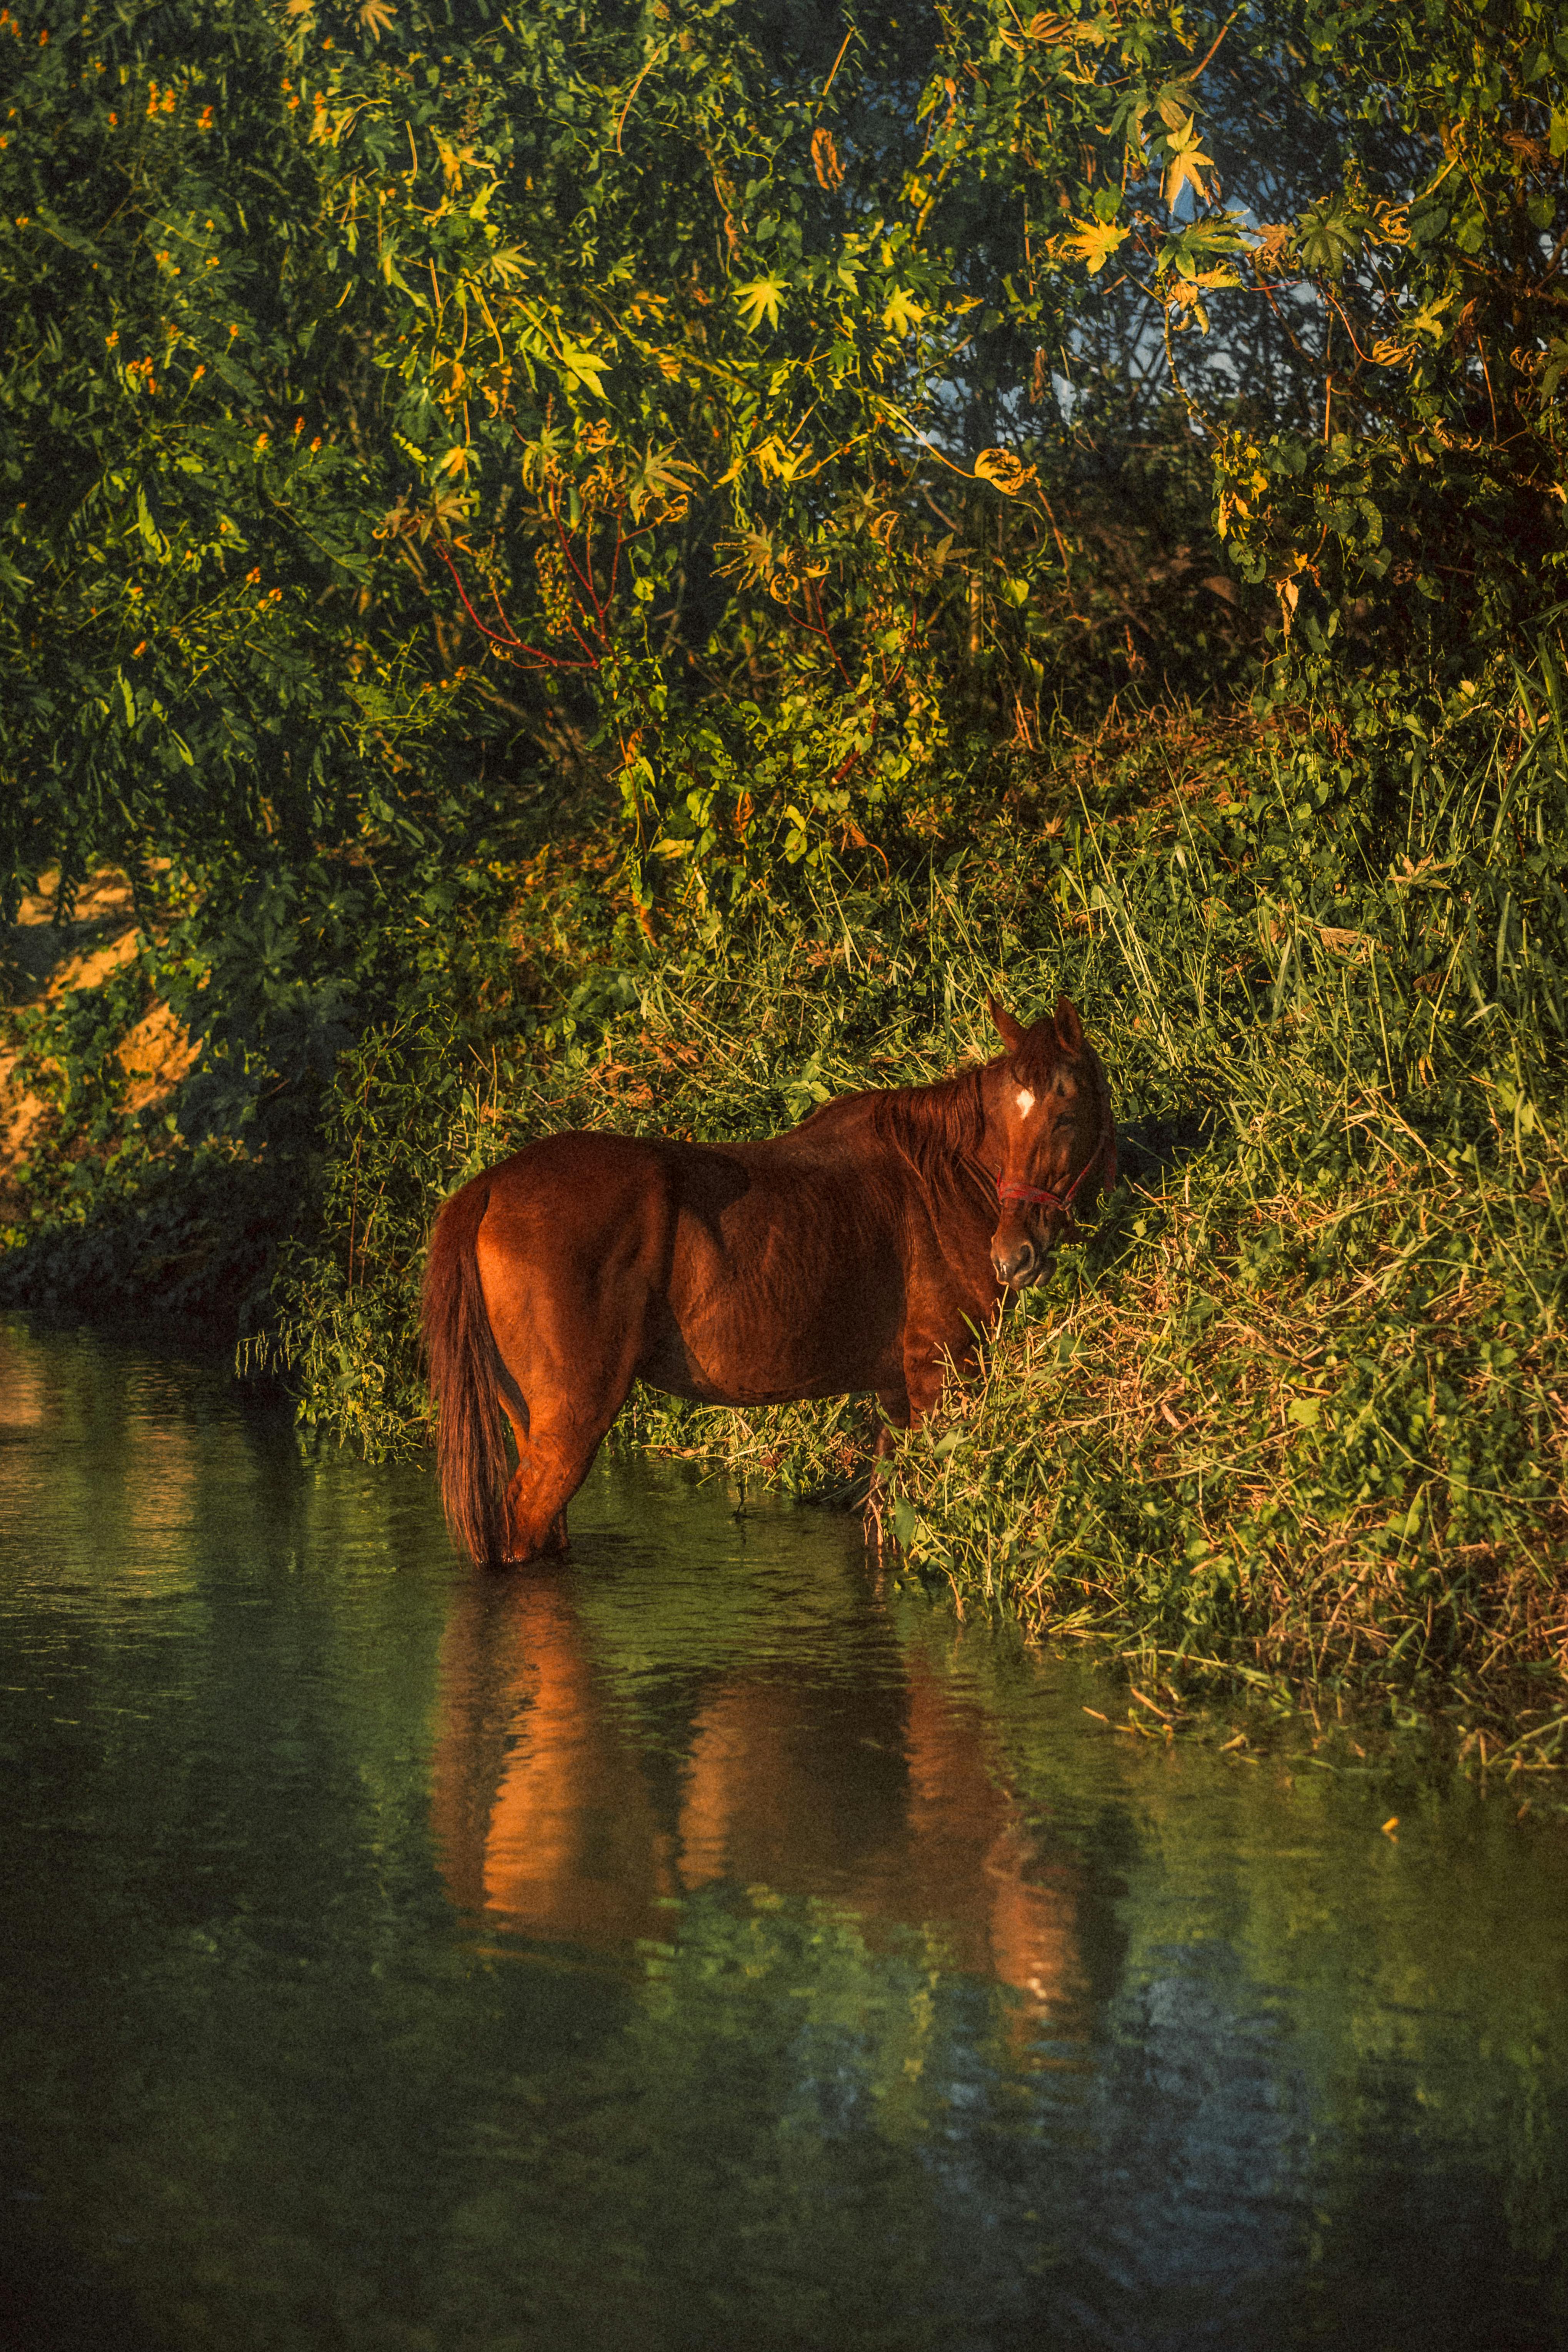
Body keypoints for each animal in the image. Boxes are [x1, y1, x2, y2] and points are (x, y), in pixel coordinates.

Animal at [421, 994, 1115, 1566]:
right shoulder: (940, 1378)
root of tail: (490, 1185)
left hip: (532, 1423)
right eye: (1006, 1118)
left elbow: (887, 1516)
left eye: (1063, 1115)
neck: (938, 1183)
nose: (1012, 1256)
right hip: (570, 1426)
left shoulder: (895, 1391)